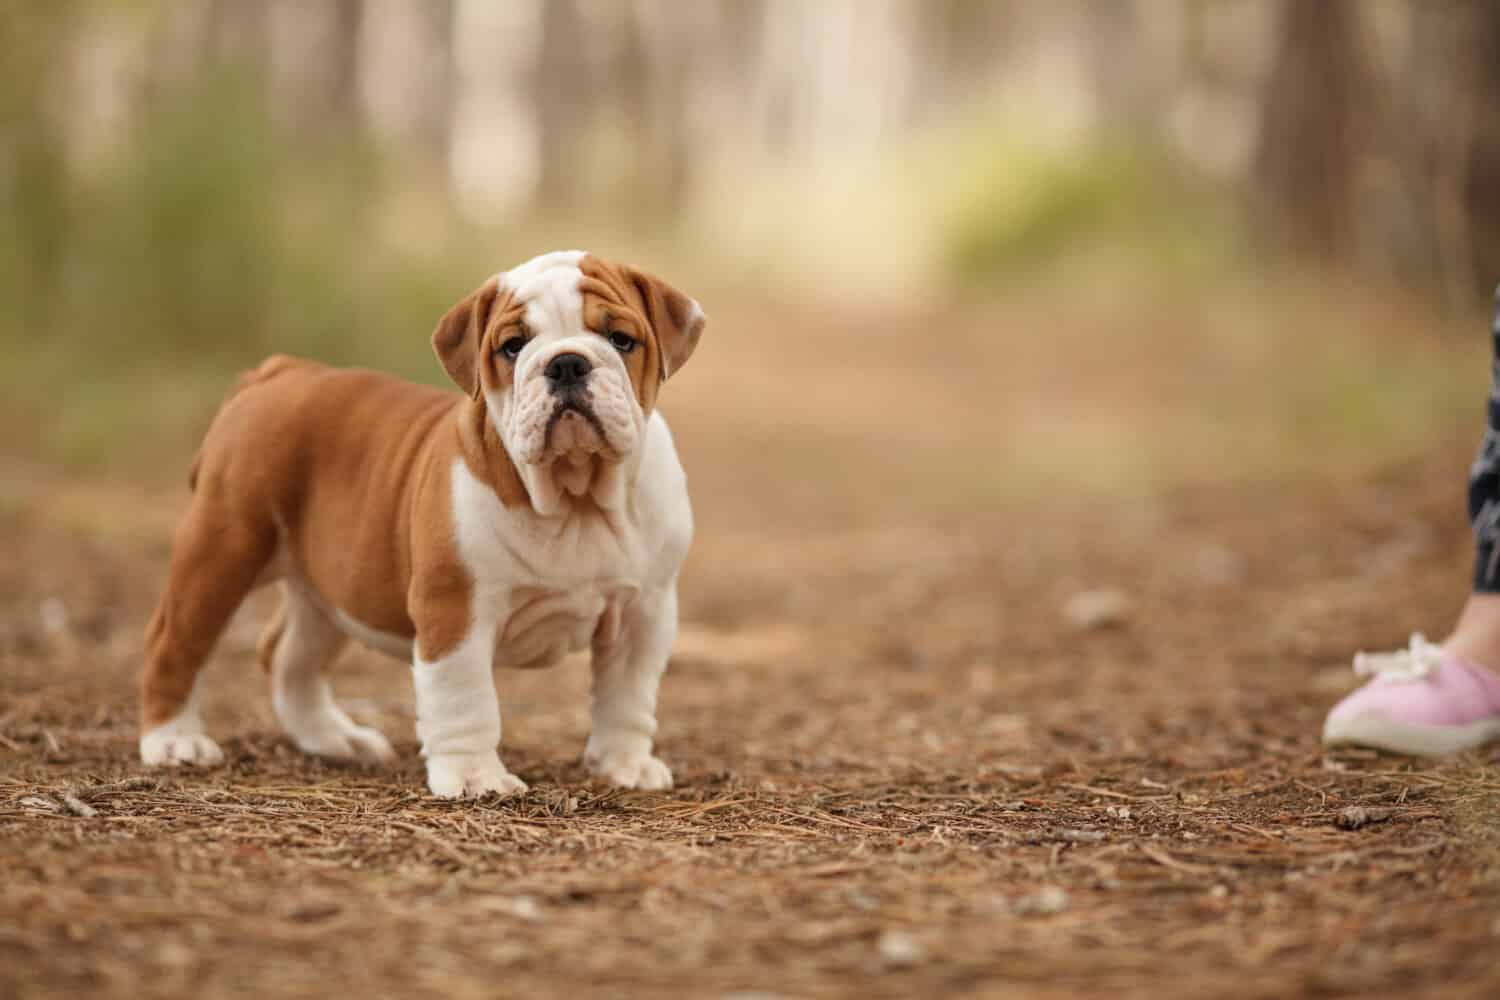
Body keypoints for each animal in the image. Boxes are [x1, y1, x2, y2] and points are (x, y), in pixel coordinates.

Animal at [141, 250, 702, 797]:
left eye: (621, 339)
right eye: (513, 347)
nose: (566, 363)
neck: (575, 497)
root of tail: (279, 372)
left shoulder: (644, 614)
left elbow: (627, 697)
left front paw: (624, 764)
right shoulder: (455, 609)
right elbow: (465, 698)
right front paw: (475, 777)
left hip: (327, 589)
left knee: (288, 656)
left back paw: (335, 739)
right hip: (222, 550)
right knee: (174, 643)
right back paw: (174, 741)